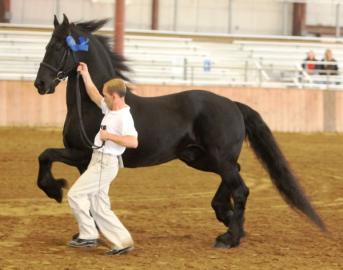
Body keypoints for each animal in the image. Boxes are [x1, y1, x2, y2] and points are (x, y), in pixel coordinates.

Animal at [33, 14, 326, 247]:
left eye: (58, 47)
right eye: (46, 45)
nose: (40, 84)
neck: (92, 105)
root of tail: (233, 104)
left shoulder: (81, 152)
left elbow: (45, 155)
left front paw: (54, 189)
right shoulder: (85, 161)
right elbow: (90, 196)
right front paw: (88, 233)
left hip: (216, 157)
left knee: (241, 188)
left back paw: (229, 238)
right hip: (198, 157)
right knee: (235, 176)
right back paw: (227, 218)